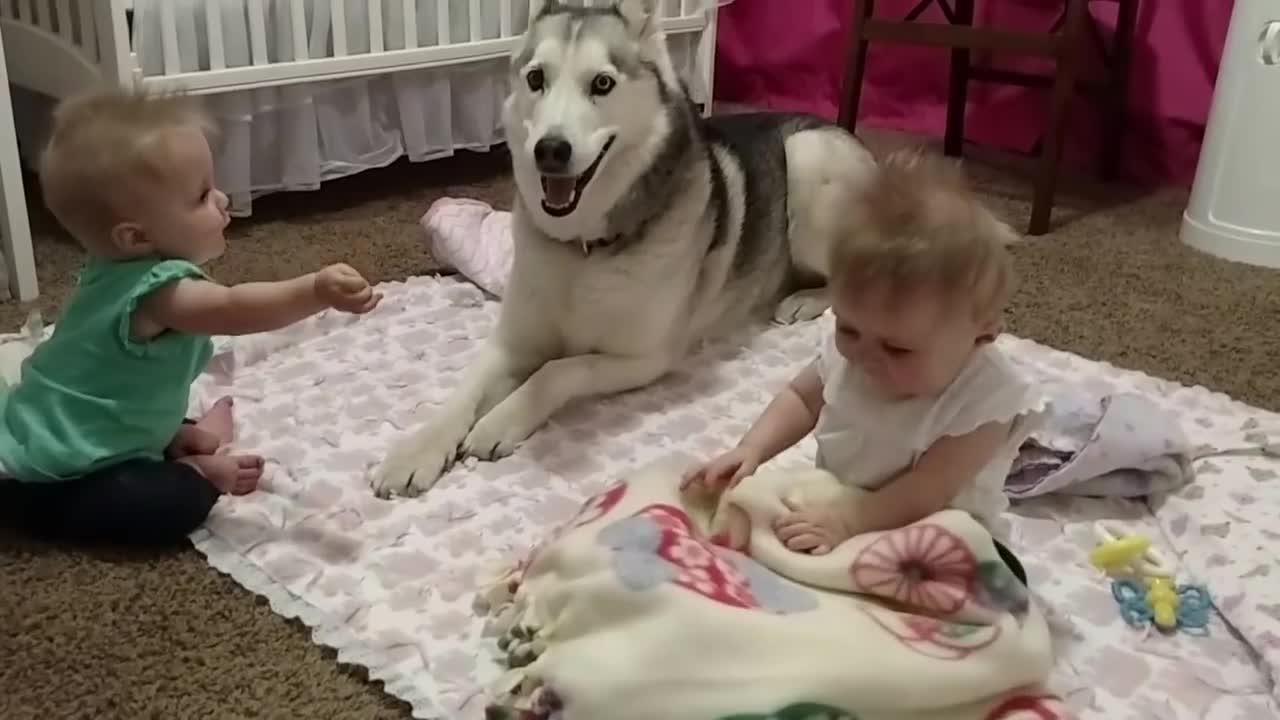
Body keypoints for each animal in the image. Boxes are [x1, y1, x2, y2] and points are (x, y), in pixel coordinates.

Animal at [371, 0, 880, 497]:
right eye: (536, 79)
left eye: (602, 83)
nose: (549, 150)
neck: (581, 250)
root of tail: (841, 131)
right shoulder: (512, 341)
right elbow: (464, 391)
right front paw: (414, 452)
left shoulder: (645, 359)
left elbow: (558, 371)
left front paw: (501, 420)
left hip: (809, 159)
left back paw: (805, 299)